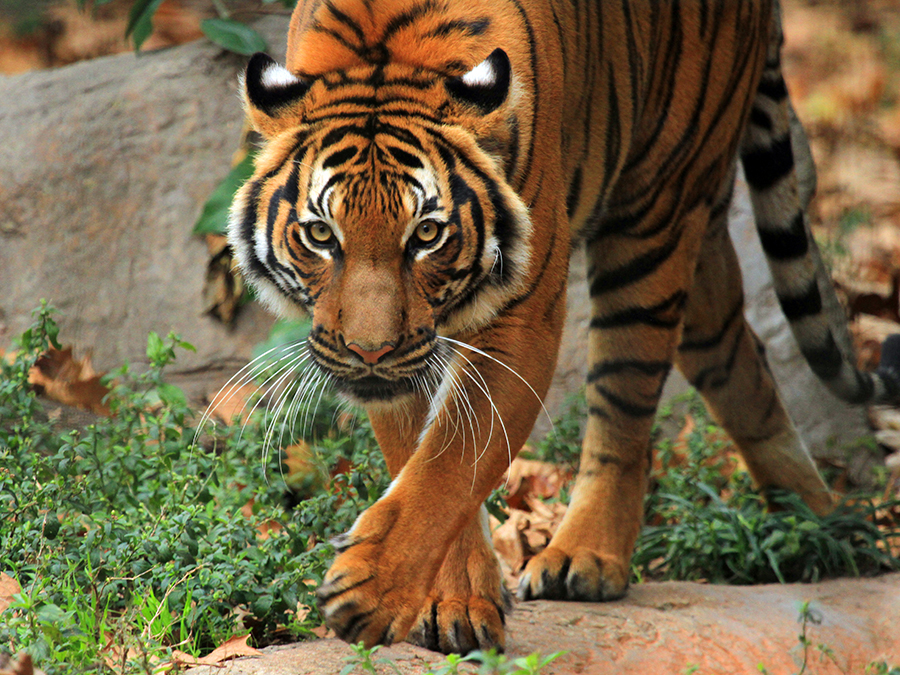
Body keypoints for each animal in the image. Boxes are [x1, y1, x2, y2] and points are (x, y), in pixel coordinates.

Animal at [227, 0, 900, 656]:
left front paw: (371, 591)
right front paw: (454, 604)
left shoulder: (523, 316)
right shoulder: (405, 362)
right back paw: (819, 527)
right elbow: (422, 454)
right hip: (698, 239)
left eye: (427, 234)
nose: (371, 352)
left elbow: (452, 464)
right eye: (321, 234)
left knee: (626, 405)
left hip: (653, 218)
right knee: (735, 354)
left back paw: (588, 554)